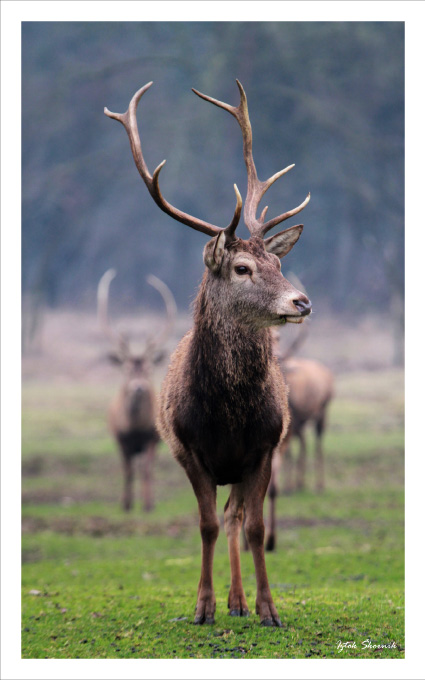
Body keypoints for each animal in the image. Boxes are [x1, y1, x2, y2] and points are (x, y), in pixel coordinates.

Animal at [96, 268, 176, 512]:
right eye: (127, 368)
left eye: (149, 368)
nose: (138, 388)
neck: (134, 427)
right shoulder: (120, 438)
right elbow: (127, 470)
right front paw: (126, 503)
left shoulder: (152, 437)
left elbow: (147, 469)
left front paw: (148, 504)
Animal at [105, 79, 312, 628]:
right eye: (241, 268)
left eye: (278, 264)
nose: (302, 301)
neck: (227, 416)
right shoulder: (188, 450)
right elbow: (204, 526)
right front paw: (202, 607)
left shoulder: (263, 448)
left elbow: (253, 528)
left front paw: (267, 609)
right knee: (222, 520)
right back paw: (228, 602)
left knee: (237, 517)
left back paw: (240, 601)